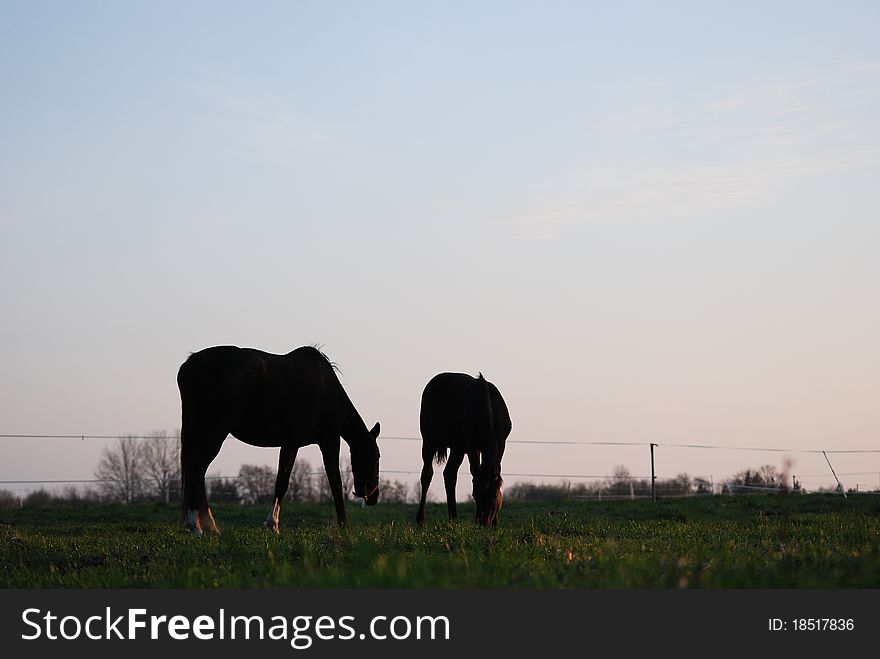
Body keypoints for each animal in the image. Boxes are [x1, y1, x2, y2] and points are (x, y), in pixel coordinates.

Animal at [177, 346, 380, 536]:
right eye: (376, 457)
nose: (374, 497)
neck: (328, 391)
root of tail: (190, 366)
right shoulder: (329, 441)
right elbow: (335, 482)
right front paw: (344, 526)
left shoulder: (291, 444)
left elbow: (281, 482)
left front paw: (273, 525)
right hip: (213, 432)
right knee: (196, 471)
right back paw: (197, 526)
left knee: (196, 473)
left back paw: (208, 526)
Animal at [416, 374, 512, 528]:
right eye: (475, 495)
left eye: (494, 495)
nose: (484, 523)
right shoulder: (472, 447)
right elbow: (475, 471)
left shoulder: (501, 443)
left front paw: (496, 522)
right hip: (429, 439)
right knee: (427, 474)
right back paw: (421, 520)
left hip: (457, 448)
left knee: (449, 474)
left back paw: (453, 519)